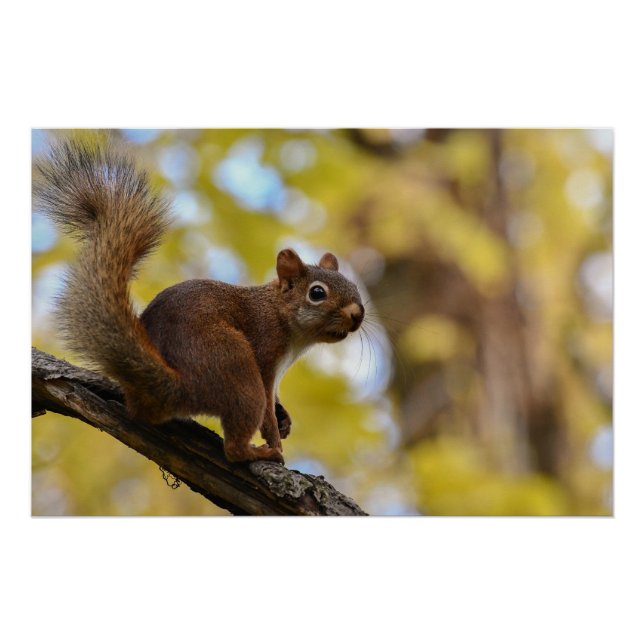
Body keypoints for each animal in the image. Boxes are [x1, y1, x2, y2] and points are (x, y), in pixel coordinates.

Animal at [33, 138, 365, 464]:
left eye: (354, 287)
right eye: (317, 293)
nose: (358, 313)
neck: (283, 320)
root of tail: (176, 385)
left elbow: (276, 403)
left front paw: (285, 418)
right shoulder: (265, 351)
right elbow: (267, 411)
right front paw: (275, 439)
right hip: (236, 366)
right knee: (234, 446)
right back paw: (260, 452)